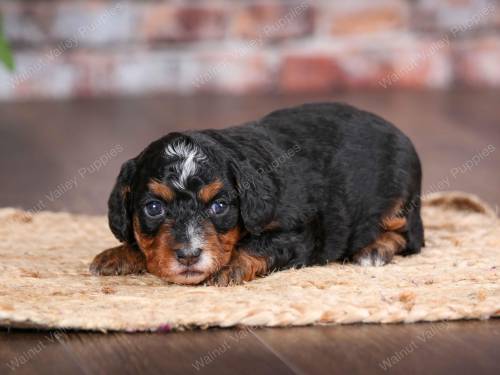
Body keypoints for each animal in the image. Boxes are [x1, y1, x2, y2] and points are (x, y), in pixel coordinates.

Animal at [89, 101, 422, 286]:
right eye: (154, 208)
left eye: (220, 206)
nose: (189, 255)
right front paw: (117, 254)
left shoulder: (300, 233)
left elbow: (258, 246)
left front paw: (228, 268)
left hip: (398, 200)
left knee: (408, 238)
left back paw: (373, 250)